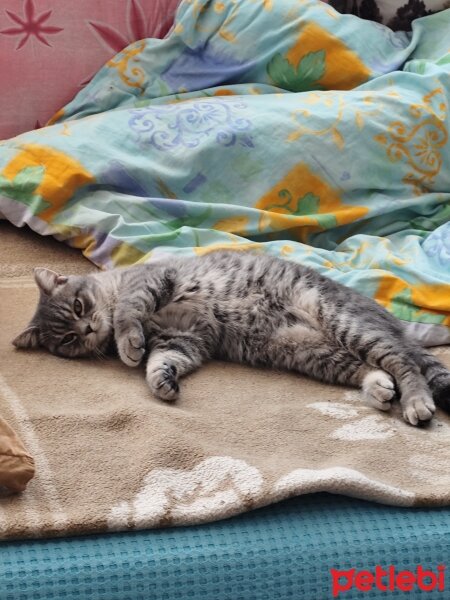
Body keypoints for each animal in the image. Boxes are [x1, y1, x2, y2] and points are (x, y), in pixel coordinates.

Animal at [12, 251, 450, 424]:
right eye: (67, 341)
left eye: (79, 307)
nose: (86, 330)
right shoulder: (183, 338)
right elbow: (163, 362)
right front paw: (160, 380)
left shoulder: (150, 283)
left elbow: (126, 315)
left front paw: (128, 343)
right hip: (309, 351)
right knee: (372, 368)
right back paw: (378, 388)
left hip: (342, 320)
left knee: (404, 363)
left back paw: (416, 402)